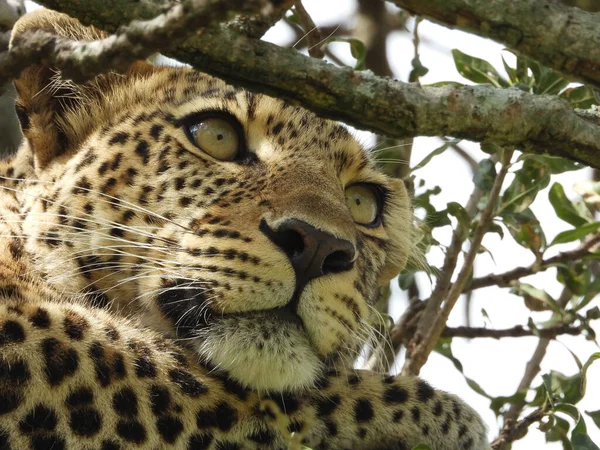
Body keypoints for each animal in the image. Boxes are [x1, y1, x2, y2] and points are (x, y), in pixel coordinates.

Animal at [0, 9, 490, 450]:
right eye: (216, 136)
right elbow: (183, 377)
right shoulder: (27, 330)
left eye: (361, 203)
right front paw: (441, 415)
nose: (318, 246)